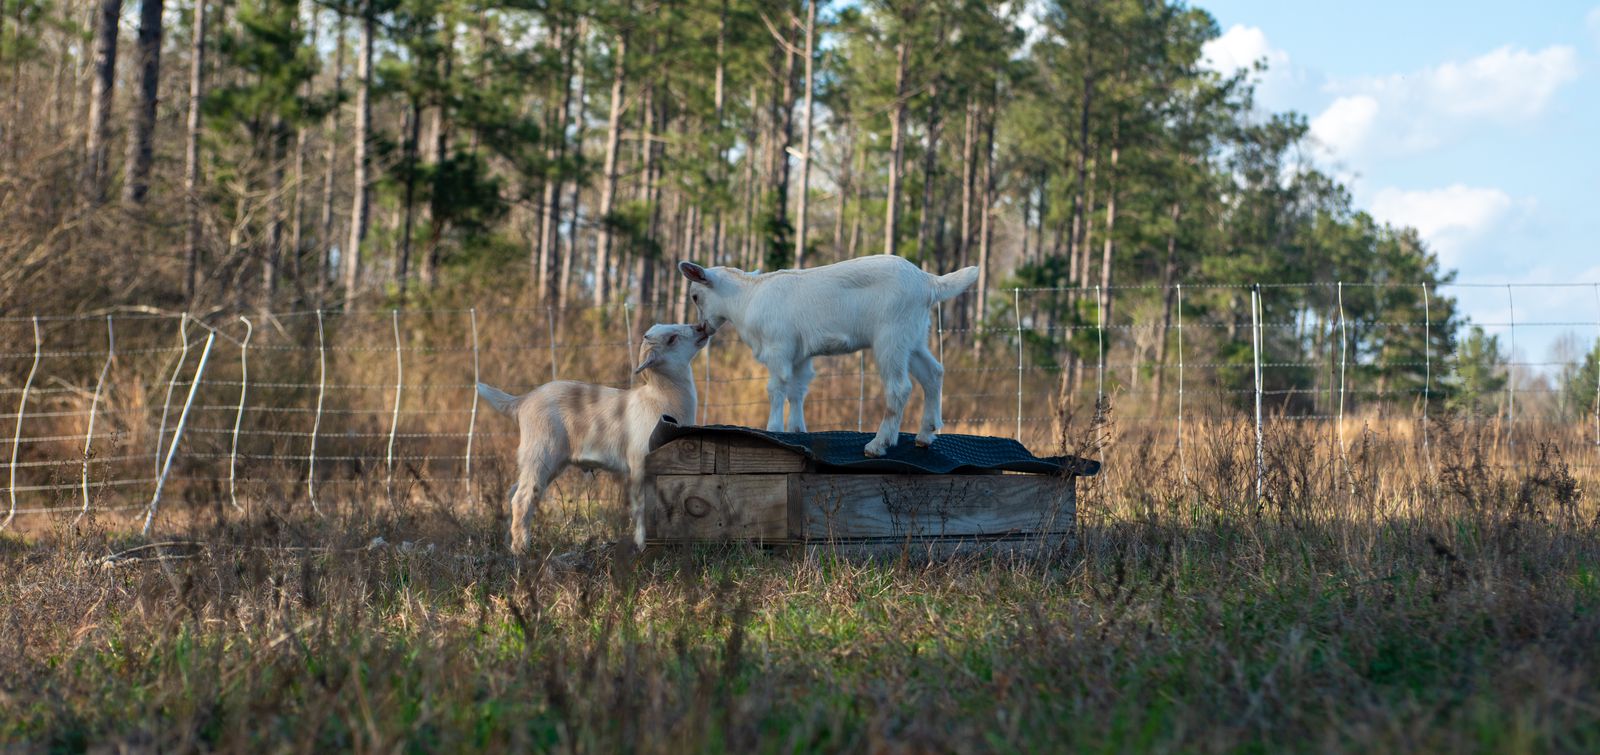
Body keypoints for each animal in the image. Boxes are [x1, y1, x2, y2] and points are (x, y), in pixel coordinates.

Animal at [477, 322, 713, 552]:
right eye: (672, 339)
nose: (701, 327)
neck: (660, 397)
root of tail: (523, 401)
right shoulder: (639, 462)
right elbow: (642, 505)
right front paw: (642, 546)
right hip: (542, 453)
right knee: (522, 498)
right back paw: (522, 550)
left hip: (549, 462)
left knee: (513, 492)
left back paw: (510, 543)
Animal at [679, 254, 978, 457]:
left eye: (695, 296)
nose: (702, 328)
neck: (748, 297)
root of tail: (927, 281)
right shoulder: (799, 354)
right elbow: (797, 390)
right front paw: (796, 430)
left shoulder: (778, 347)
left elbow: (776, 388)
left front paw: (773, 427)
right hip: (913, 338)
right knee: (933, 373)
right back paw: (926, 434)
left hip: (891, 337)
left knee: (899, 388)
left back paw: (878, 444)